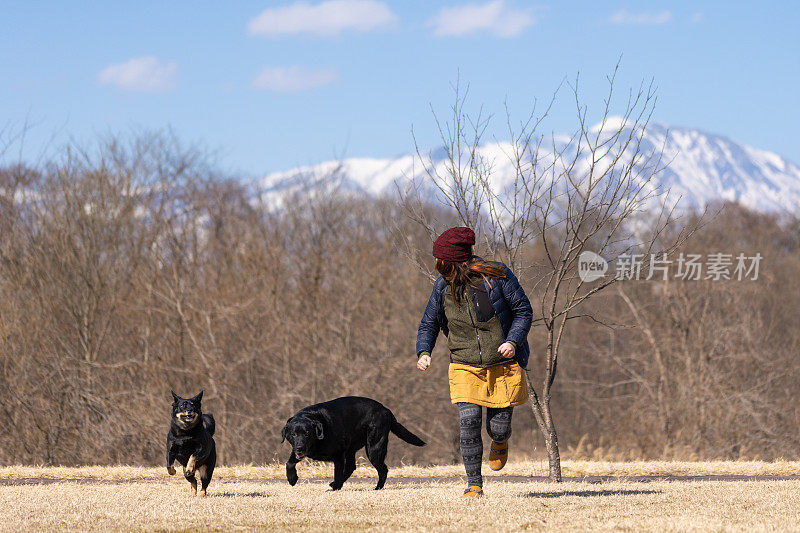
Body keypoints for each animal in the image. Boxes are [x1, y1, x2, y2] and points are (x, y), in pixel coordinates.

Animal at [282, 396, 424, 488]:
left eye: (307, 433)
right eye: (293, 434)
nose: (300, 447)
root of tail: (386, 410)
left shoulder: (338, 455)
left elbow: (337, 473)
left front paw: (336, 487)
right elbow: (289, 463)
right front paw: (292, 479)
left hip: (373, 449)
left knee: (383, 469)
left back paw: (377, 488)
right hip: (352, 448)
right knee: (351, 467)